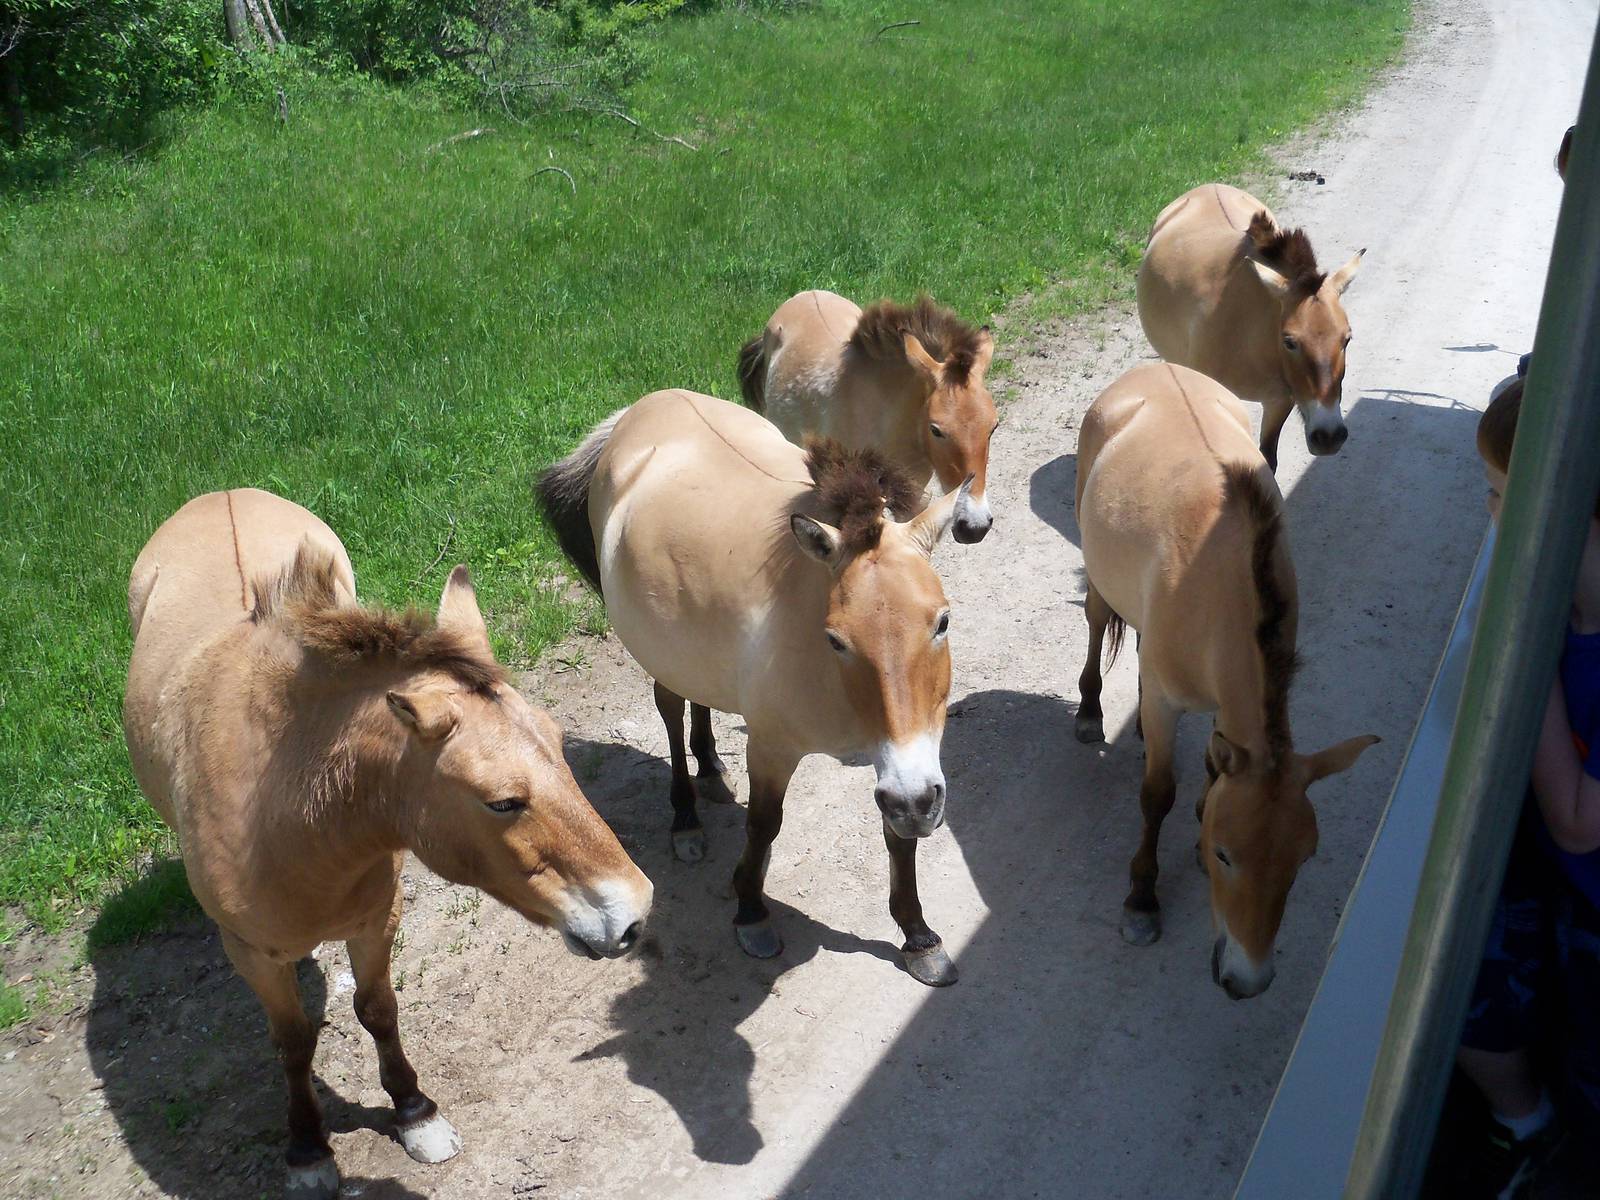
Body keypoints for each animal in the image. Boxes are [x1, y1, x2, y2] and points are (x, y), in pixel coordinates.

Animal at [122, 488, 653, 1198]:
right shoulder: (254, 956)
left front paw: (413, 1111)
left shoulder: (376, 920)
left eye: (560, 742)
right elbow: (293, 1042)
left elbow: (377, 1009)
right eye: (502, 802)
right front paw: (308, 1148)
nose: (634, 914)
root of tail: (220, 496)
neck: (290, 817)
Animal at [537, 390, 968, 986]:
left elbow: (898, 835)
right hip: (661, 653)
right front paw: (750, 909)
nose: (917, 803)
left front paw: (917, 935)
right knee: (670, 710)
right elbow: (765, 826)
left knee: (699, 701)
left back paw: (711, 768)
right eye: (835, 640)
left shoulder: (912, 754)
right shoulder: (773, 748)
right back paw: (686, 817)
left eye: (943, 621)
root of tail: (639, 409)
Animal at [1072, 364, 1379, 999]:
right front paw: (1142, 899)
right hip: (1098, 577)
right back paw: (1090, 711)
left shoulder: (1227, 709)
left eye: (1304, 859)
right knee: (1094, 621)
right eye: (1226, 855)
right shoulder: (1172, 703)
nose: (1247, 981)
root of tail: (1152, 369)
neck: (1225, 580)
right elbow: (1156, 795)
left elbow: (1215, 771)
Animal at [1136, 183, 1365, 471]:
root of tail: (1209, 186)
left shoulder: (1279, 402)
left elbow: (1267, 459)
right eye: (1289, 341)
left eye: (1346, 339)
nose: (1329, 436)